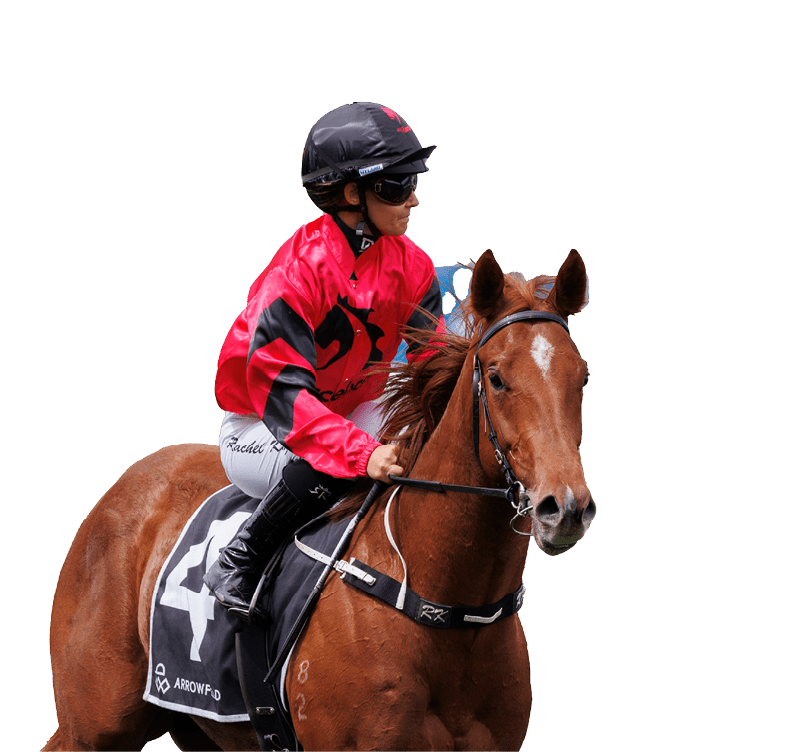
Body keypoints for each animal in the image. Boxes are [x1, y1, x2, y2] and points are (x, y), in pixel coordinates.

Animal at [43, 250, 592, 748]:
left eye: (582, 376)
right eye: (496, 377)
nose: (564, 507)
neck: (447, 608)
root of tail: (119, 490)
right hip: (92, 726)